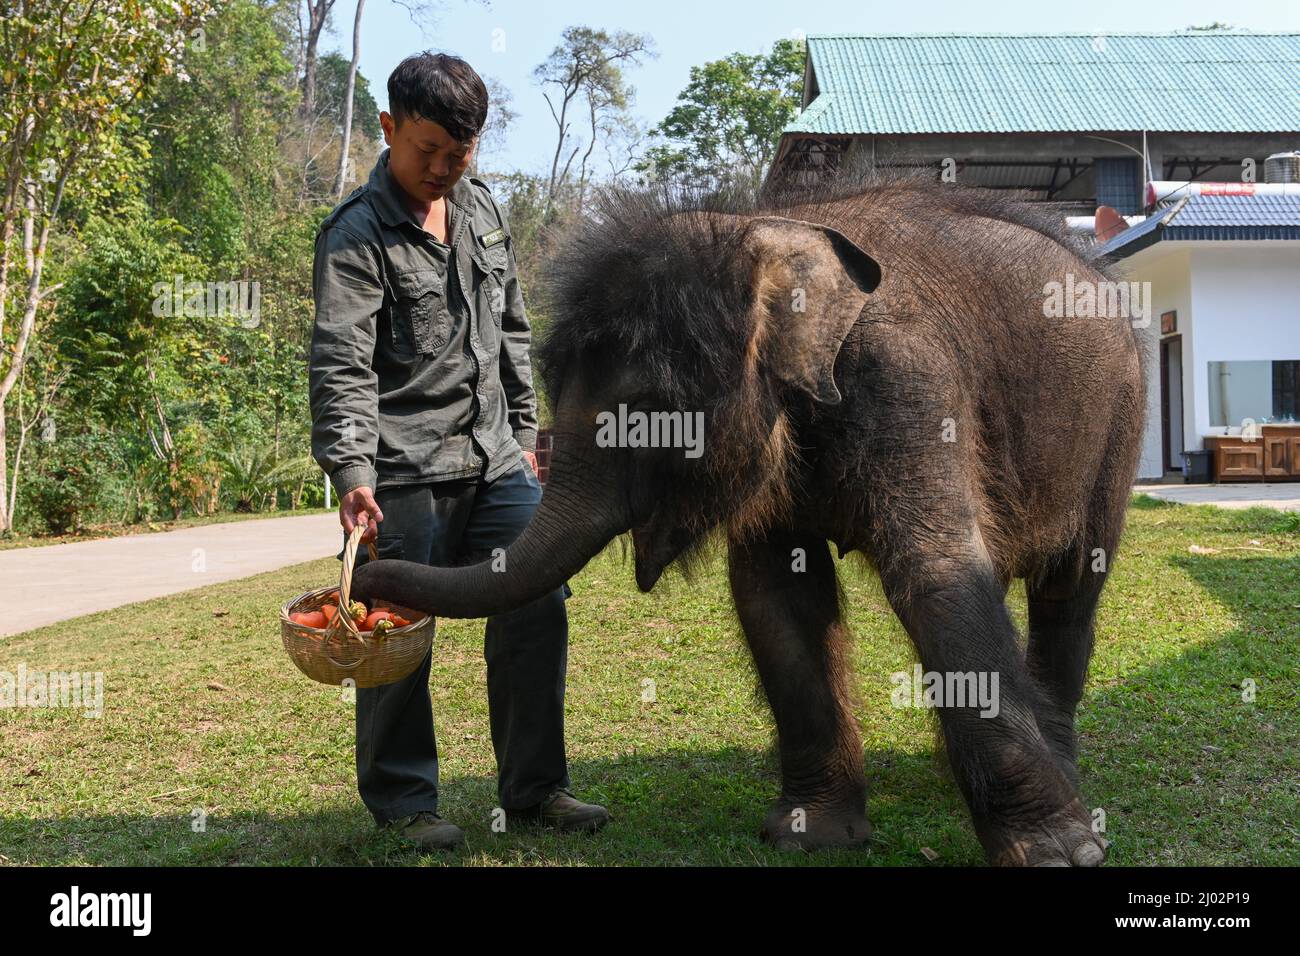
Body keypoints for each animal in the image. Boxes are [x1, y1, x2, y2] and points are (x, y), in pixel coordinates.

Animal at [351, 171, 1144, 868]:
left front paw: (1061, 854)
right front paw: (810, 837)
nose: (361, 562)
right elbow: (776, 591)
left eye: (651, 411)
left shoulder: (912, 379)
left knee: (1071, 586)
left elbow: (938, 572)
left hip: (1120, 417)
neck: (757, 233)